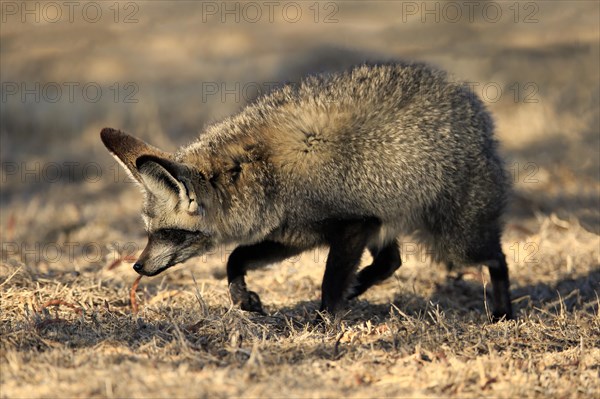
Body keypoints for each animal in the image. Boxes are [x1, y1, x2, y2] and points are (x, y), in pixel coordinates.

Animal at [101, 64, 512, 324]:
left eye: (168, 234)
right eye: (149, 233)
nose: (137, 266)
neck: (262, 171)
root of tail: (467, 99)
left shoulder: (352, 224)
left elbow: (329, 282)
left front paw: (324, 323)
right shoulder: (296, 234)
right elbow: (235, 257)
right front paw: (242, 297)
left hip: (454, 244)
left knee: (497, 259)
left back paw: (504, 313)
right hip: (389, 224)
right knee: (390, 261)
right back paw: (360, 285)